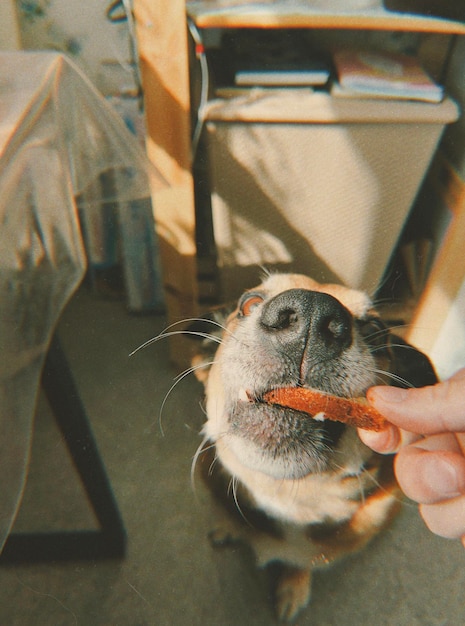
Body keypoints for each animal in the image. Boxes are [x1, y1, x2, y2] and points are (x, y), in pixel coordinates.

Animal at [187, 272, 436, 620]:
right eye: (249, 303)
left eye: (376, 330)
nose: (312, 312)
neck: (283, 495)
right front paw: (227, 528)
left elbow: (301, 564)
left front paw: (293, 586)